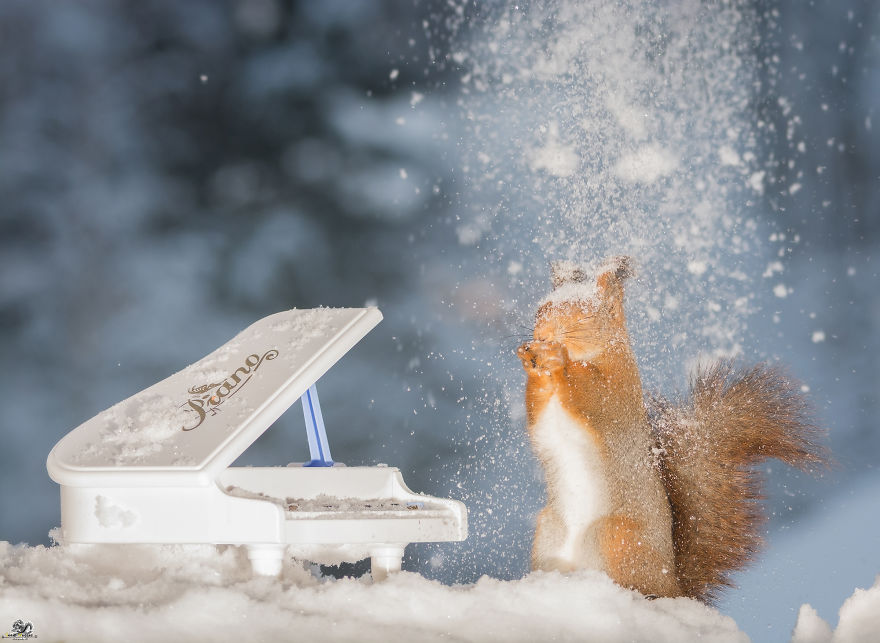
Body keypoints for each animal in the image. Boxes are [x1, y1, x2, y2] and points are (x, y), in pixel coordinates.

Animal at [516, 256, 828, 602]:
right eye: (540, 309)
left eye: (584, 313)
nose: (541, 334)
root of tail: (674, 587)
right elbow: (537, 410)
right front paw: (530, 360)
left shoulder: (615, 391)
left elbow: (588, 392)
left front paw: (557, 358)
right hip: (548, 536)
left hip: (617, 538)